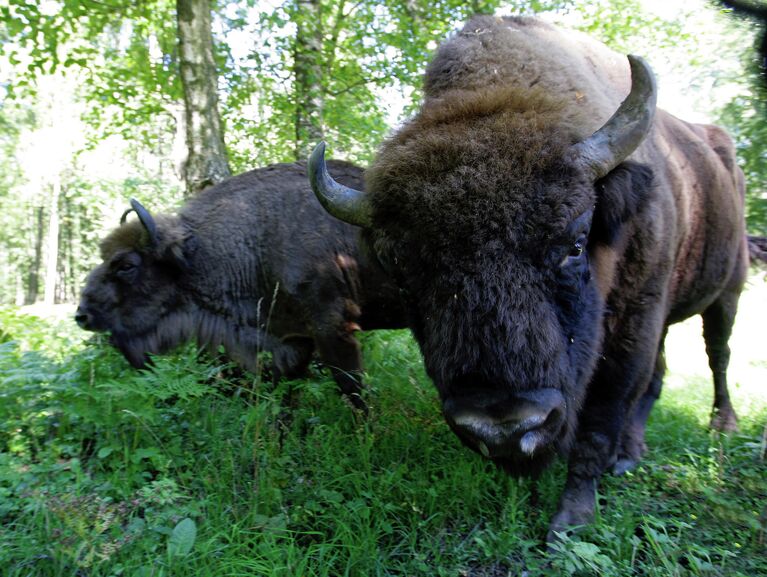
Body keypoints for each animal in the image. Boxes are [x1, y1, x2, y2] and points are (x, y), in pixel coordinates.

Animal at [75, 161, 404, 410]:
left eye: (126, 265)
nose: (82, 315)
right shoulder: (292, 339)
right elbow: (287, 393)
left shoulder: (334, 329)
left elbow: (352, 387)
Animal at [308, 15, 760, 540]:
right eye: (403, 271)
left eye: (576, 243)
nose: (504, 426)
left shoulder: (635, 322)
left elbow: (603, 415)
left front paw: (571, 521)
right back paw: (632, 453)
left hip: (727, 292)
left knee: (717, 354)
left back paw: (719, 426)